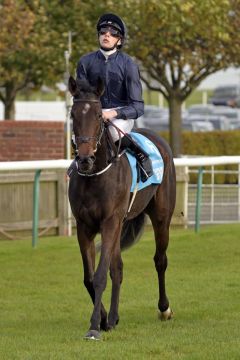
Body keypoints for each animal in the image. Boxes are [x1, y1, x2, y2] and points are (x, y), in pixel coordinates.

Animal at [67, 76, 176, 340]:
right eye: (73, 115)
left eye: (98, 115)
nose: (84, 159)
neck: (95, 176)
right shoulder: (85, 226)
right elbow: (90, 277)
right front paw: (104, 319)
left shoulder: (109, 222)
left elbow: (99, 277)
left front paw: (94, 326)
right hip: (120, 224)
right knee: (117, 268)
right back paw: (114, 317)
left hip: (161, 217)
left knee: (160, 260)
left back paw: (164, 309)